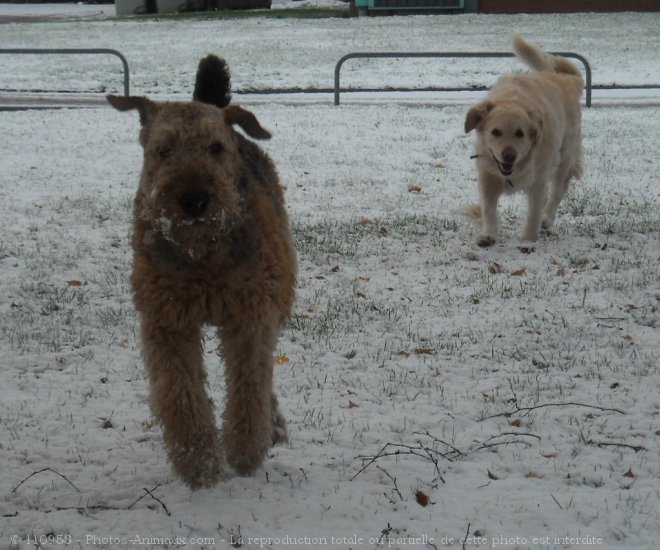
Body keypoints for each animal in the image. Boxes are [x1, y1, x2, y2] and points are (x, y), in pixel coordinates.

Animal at [107, 55, 296, 492]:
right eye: (164, 149)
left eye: (216, 148)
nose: (195, 200)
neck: (203, 256)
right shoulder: (168, 321)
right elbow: (181, 393)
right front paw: (199, 464)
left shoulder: (250, 314)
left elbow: (249, 384)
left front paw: (244, 452)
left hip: (280, 293)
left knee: (266, 375)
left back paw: (273, 427)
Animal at [464, 35, 584, 247]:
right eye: (495, 132)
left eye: (520, 133)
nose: (509, 156)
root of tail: (567, 80)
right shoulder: (488, 175)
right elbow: (488, 208)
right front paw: (488, 235)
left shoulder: (538, 178)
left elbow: (534, 211)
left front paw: (528, 240)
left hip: (565, 157)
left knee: (558, 190)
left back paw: (547, 218)